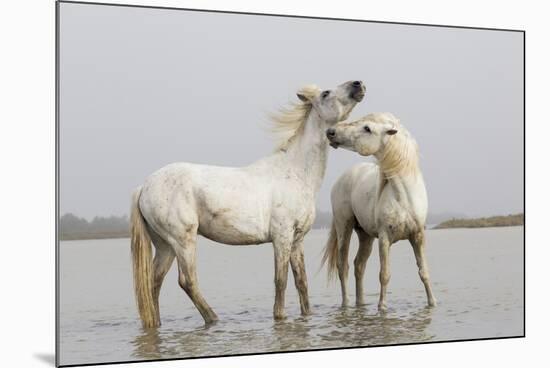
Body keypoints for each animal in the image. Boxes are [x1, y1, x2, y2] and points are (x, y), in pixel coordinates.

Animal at [132, 80, 368, 328]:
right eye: (325, 93)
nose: (358, 84)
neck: (295, 172)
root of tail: (144, 187)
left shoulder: (297, 240)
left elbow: (301, 282)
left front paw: (306, 315)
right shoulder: (282, 237)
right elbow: (281, 280)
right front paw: (279, 316)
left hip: (165, 245)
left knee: (153, 282)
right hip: (183, 240)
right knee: (187, 281)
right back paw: (214, 319)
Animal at [322, 112, 438, 310]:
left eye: (367, 128)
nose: (331, 132)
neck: (403, 197)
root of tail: (344, 176)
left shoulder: (418, 236)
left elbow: (424, 271)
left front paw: (432, 303)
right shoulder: (384, 239)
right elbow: (384, 274)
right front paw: (382, 307)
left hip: (365, 235)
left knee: (359, 265)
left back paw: (360, 304)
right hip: (344, 227)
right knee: (342, 266)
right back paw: (346, 304)